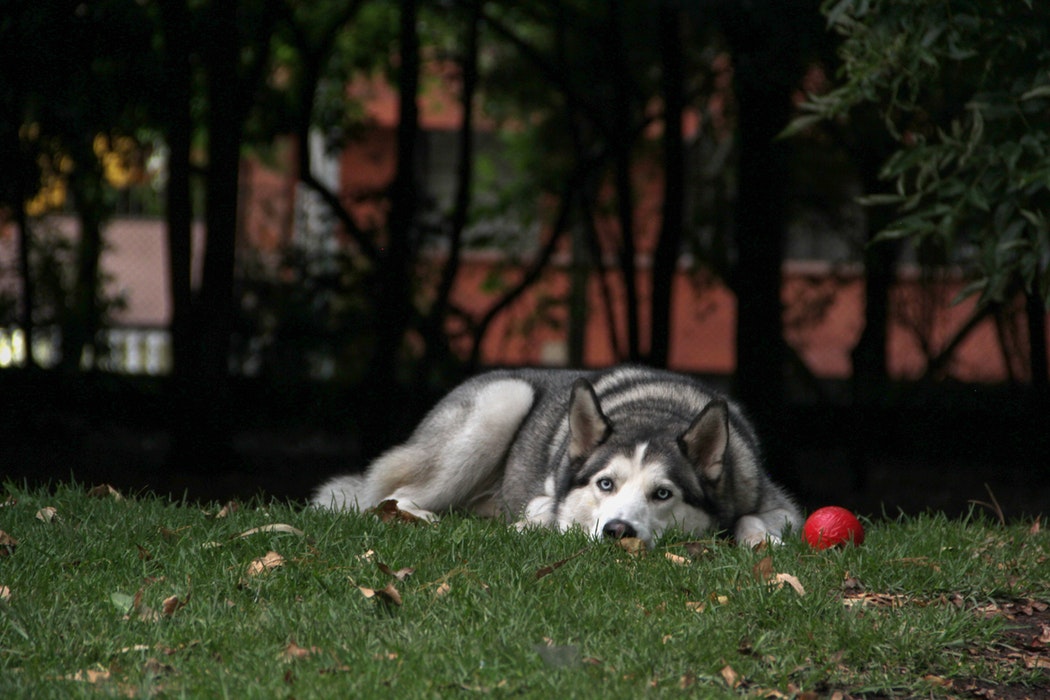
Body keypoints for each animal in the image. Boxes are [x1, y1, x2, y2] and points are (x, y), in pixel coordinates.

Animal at [308, 367, 793, 545]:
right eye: (605, 484)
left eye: (663, 494)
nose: (618, 531)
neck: (655, 410)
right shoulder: (554, 496)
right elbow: (549, 510)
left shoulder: (777, 503)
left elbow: (755, 518)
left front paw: (760, 540)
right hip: (501, 402)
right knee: (389, 496)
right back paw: (420, 517)